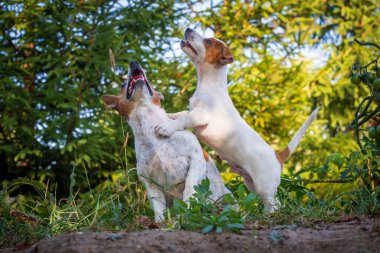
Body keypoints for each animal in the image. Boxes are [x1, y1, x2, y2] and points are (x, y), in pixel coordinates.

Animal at [102, 60, 230, 220]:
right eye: (122, 85)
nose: (133, 62)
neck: (149, 129)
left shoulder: (196, 159)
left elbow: (190, 185)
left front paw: (187, 205)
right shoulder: (150, 183)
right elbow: (158, 207)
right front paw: (160, 221)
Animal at [155, 27, 320, 212]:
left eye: (209, 41)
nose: (188, 28)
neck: (209, 83)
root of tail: (277, 156)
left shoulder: (200, 116)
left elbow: (183, 120)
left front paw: (166, 128)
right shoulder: (192, 110)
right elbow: (179, 114)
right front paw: (167, 114)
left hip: (264, 186)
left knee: (273, 203)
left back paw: (269, 214)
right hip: (251, 183)